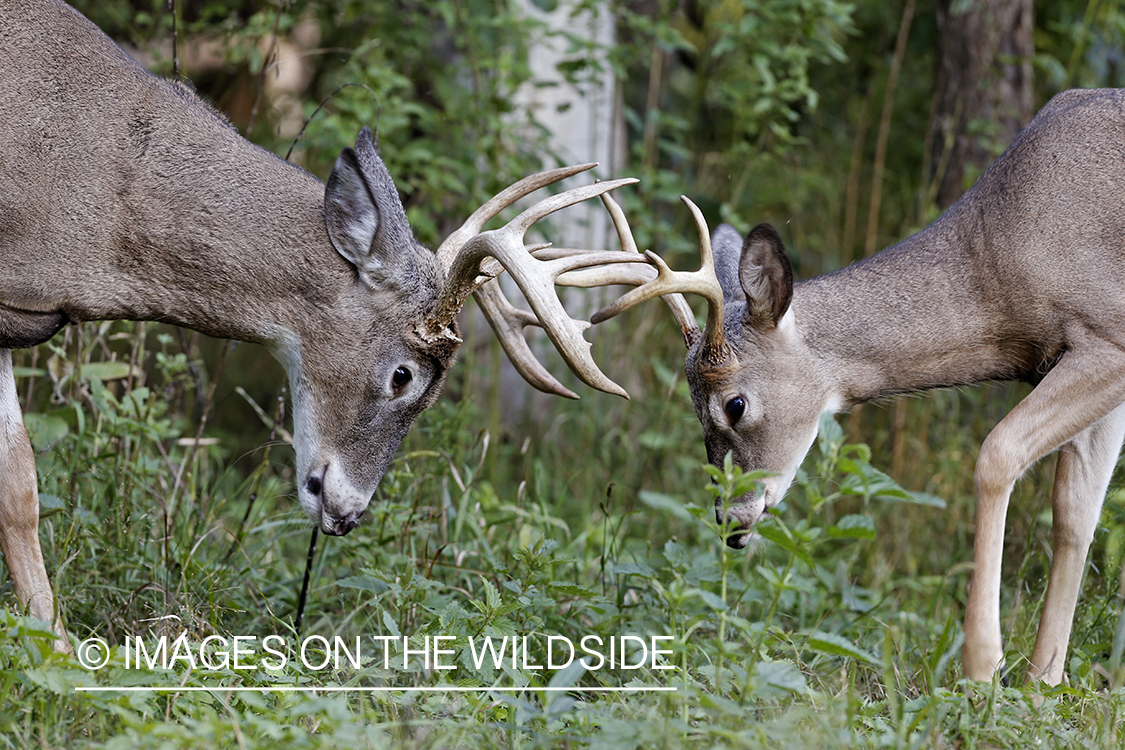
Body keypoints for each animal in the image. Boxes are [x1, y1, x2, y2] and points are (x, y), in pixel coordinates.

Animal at [589, 88, 1125, 688]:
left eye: (735, 404)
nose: (731, 521)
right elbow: (1075, 514)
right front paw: (1043, 682)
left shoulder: (1110, 333)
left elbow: (997, 454)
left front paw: (982, 668)